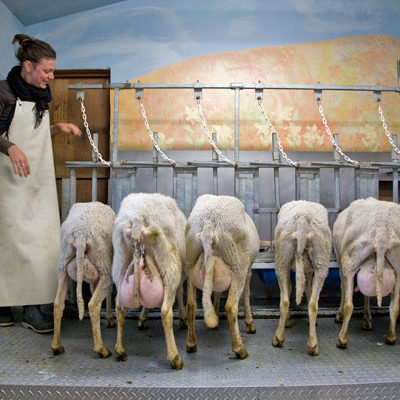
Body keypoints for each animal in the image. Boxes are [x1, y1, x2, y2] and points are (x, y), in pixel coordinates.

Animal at [50, 202, 115, 358]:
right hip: (104, 264)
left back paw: (57, 346)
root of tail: (80, 233)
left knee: (58, 303)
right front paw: (110, 318)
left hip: (63, 261)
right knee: (93, 304)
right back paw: (101, 349)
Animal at [111, 192, 187, 370]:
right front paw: (183, 318)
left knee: (119, 306)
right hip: (169, 263)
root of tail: (137, 217)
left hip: (119, 264)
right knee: (165, 310)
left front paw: (142, 319)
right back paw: (175, 358)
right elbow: (180, 293)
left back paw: (120, 350)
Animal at [184, 195, 260, 360]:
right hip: (238, 266)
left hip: (191, 264)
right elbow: (247, 294)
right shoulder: (248, 269)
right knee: (231, 306)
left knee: (191, 305)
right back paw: (239, 349)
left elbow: (218, 291)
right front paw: (250, 323)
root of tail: (208, 221)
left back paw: (191, 344)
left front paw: (216, 312)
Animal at [272, 202, 332, 354]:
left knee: (287, 301)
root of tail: (302, 217)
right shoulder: (309, 271)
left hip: (284, 257)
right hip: (319, 259)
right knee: (311, 303)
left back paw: (281, 338)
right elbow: (307, 289)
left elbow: (295, 288)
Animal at [334, 198, 400, 348]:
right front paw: (367, 320)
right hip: (398, 265)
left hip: (350, 259)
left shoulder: (341, 262)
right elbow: (367, 294)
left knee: (349, 304)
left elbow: (343, 287)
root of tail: (382, 231)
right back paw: (391, 336)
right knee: (395, 306)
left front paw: (340, 315)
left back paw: (342, 339)